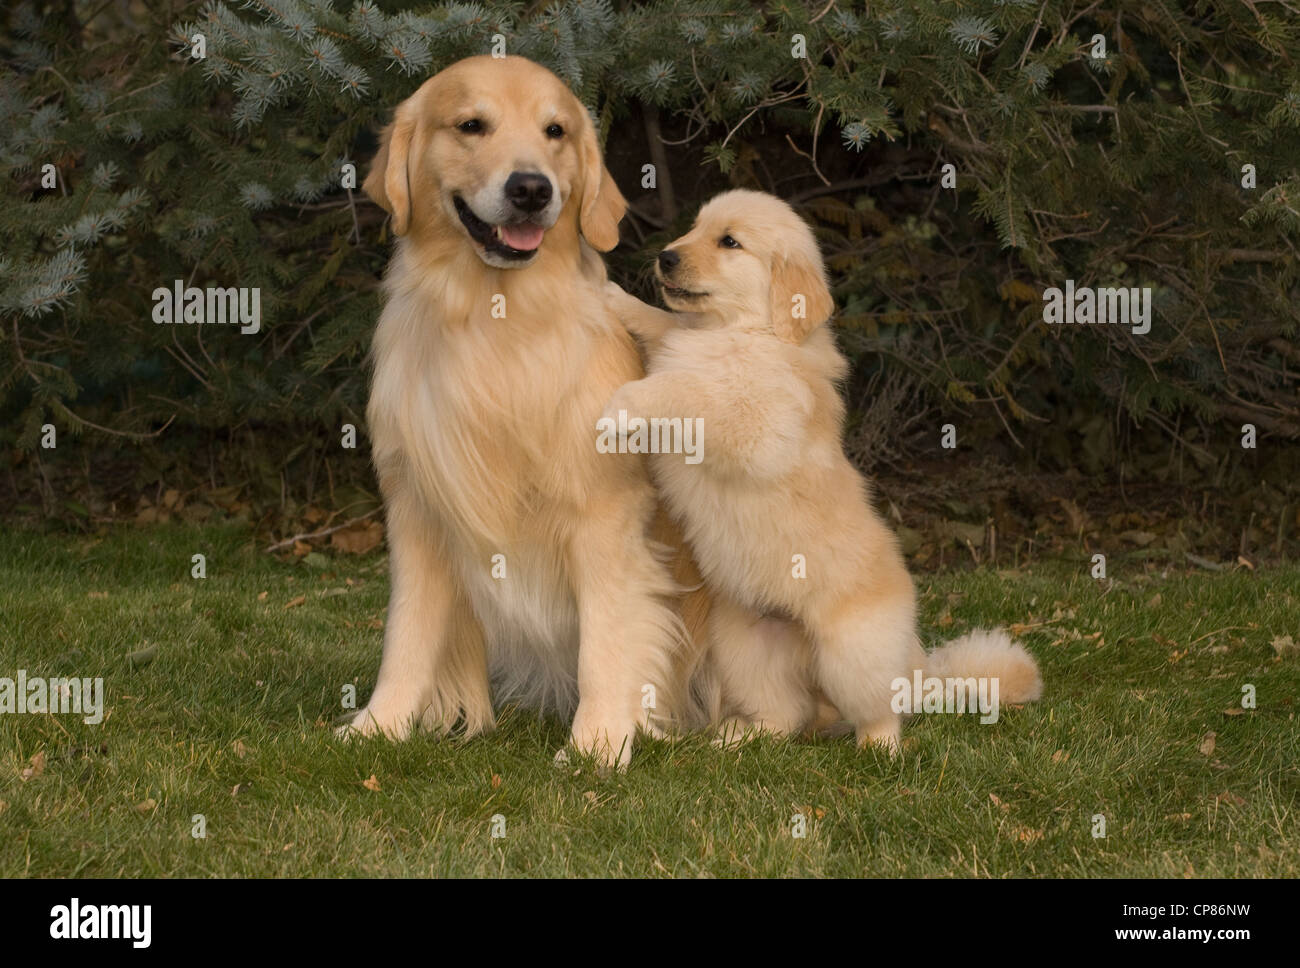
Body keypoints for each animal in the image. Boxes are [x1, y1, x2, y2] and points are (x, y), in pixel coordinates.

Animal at [353, 54, 712, 764]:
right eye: (471, 125)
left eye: (555, 131)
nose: (530, 189)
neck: (497, 319)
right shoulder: (416, 509)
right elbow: (406, 631)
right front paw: (380, 725)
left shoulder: (604, 513)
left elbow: (606, 638)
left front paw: (598, 745)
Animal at [603, 188, 1040, 748]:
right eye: (696, 228)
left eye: (729, 242)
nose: (665, 257)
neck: (749, 330)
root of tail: (916, 659)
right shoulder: (685, 340)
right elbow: (664, 326)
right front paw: (615, 296)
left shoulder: (755, 422)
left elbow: (683, 387)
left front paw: (624, 405)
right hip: (746, 646)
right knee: (788, 716)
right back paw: (737, 737)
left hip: (851, 653)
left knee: (883, 709)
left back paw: (881, 750)